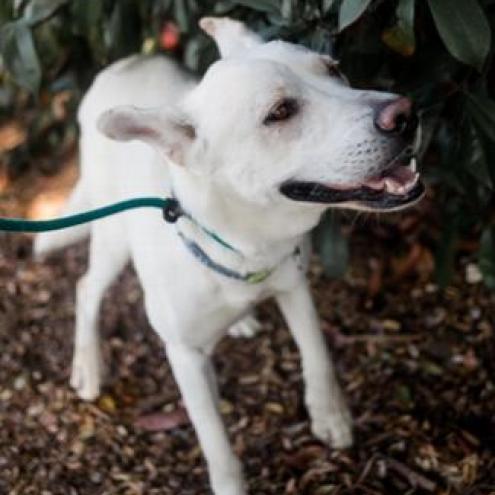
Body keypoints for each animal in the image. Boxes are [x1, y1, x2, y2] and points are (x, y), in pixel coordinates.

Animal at [35, 17, 424, 495]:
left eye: (334, 69)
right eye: (280, 112)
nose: (405, 113)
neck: (247, 242)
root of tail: (127, 60)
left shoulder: (295, 284)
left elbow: (317, 355)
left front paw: (329, 415)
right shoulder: (184, 356)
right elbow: (215, 441)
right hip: (112, 239)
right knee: (87, 287)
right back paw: (89, 364)